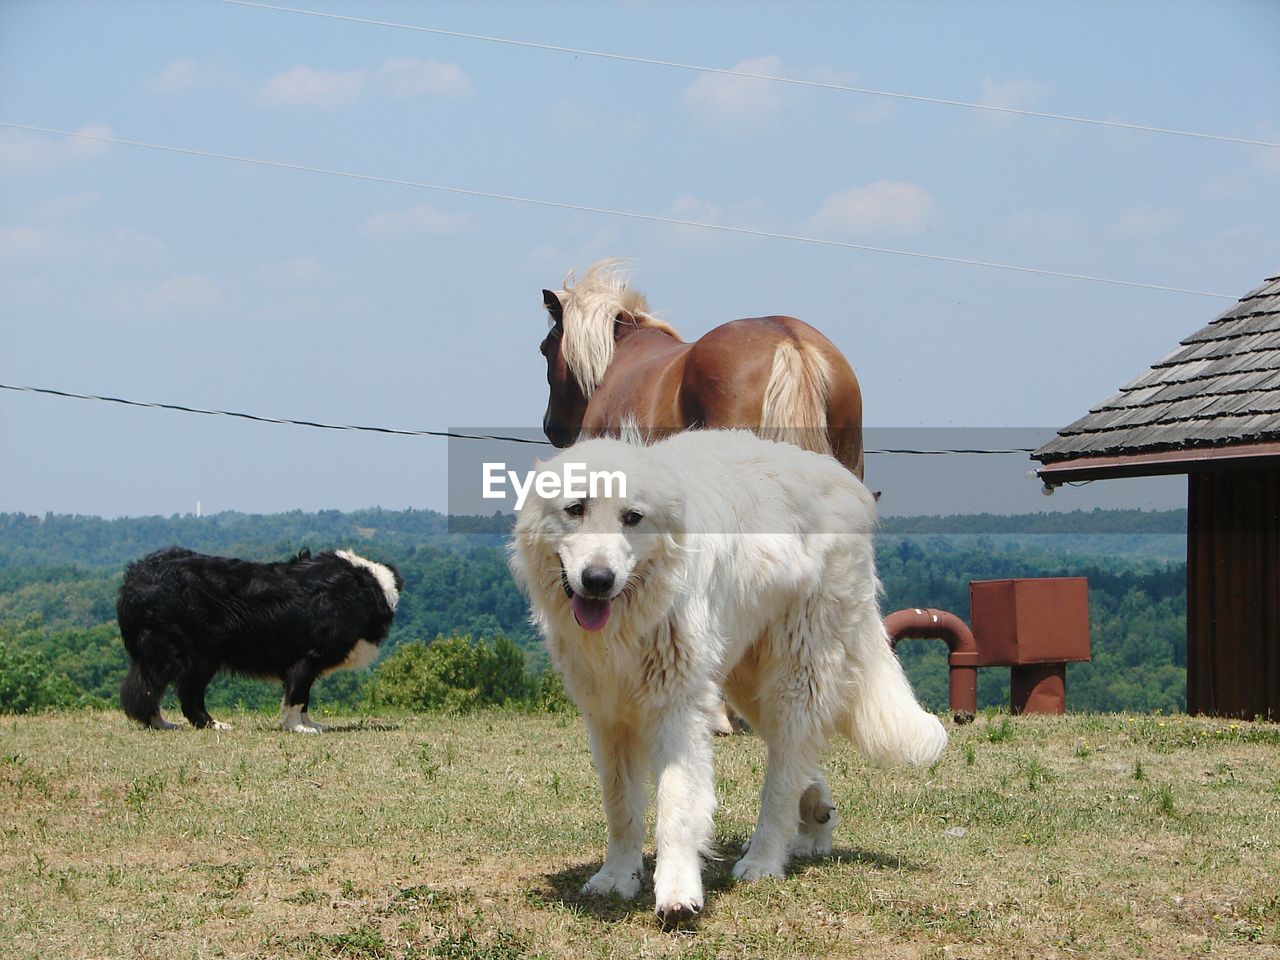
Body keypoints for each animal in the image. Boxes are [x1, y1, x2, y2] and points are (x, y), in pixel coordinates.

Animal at [119, 547, 401, 737]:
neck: (360, 587)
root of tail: (136, 576)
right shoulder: (308, 657)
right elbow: (297, 696)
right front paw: (298, 727)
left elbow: (304, 698)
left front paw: (310, 724)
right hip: (195, 656)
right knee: (179, 694)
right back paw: (210, 724)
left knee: (148, 689)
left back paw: (163, 723)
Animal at [512, 427, 952, 926]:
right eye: (575, 509)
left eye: (632, 517)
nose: (599, 579)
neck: (633, 619)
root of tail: (842, 480)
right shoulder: (607, 715)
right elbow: (620, 805)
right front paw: (618, 876)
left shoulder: (677, 707)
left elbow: (676, 807)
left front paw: (677, 894)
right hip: (744, 679)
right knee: (798, 757)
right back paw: (816, 820)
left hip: (792, 674)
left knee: (783, 774)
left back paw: (763, 860)